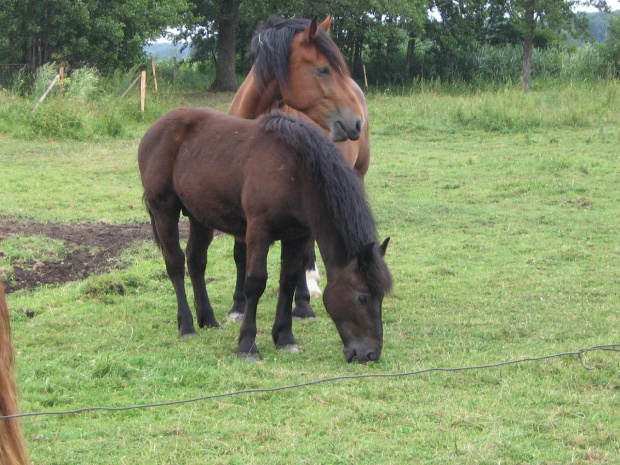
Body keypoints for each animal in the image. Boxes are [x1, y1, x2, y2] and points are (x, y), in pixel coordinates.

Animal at [140, 109, 392, 362]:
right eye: (362, 296)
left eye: (381, 296)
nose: (371, 353)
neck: (294, 174)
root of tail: (156, 127)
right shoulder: (258, 232)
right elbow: (255, 282)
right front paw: (247, 344)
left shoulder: (297, 236)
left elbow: (289, 280)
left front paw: (285, 337)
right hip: (164, 210)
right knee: (175, 263)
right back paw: (187, 326)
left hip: (199, 215)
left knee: (196, 261)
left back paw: (208, 319)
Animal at [225, 14, 368, 320]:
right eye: (324, 69)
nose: (356, 121)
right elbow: (240, 252)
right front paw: (238, 306)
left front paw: (301, 304)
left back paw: (309, 290)